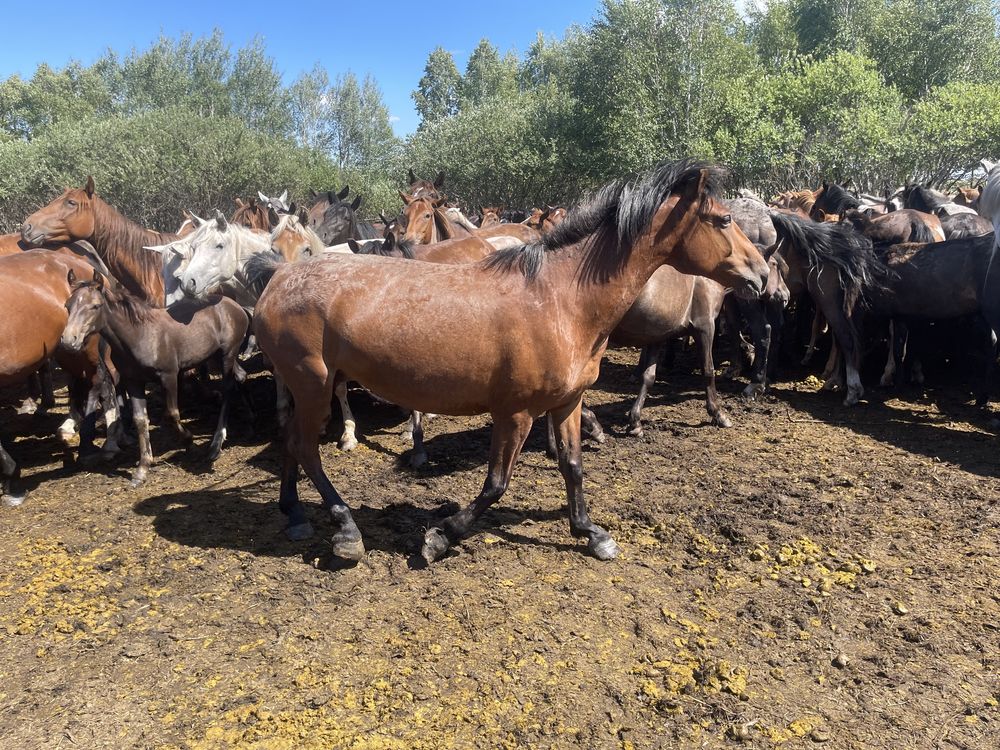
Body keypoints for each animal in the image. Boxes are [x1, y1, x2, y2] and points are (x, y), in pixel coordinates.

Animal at [61, 270, 250, 488]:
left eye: (95, 306)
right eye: (67, 305)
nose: (69, 340)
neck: (139, 335)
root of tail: (235, 305)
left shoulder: (169, 375)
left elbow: (172, 414)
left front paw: (189, 442)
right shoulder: (133, 381)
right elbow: (140, 420)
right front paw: (142, 469)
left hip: (228, 353)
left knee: (228, 388)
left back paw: (216, 445)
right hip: (216, 356)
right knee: (240, 377)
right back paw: (248, 416)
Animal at [248, 162, 764, 568]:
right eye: (723, 219)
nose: (761, 273)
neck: (560, 298)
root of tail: (278, 276)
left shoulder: (568, 403)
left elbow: (573, 465)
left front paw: (590, 532)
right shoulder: (514, 414)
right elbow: (496, 484)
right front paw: (440, 537)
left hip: (307, 386)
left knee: (291, 441)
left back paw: (295, 514)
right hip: (314, 385)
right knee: (305, 447)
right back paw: (346, 530)